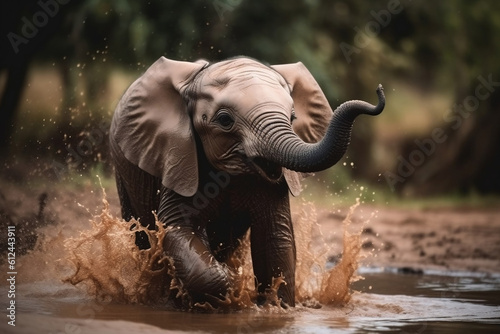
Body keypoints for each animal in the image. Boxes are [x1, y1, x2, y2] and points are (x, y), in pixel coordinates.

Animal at [108, 55, 382, 308]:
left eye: (293, 118)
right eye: (225, 120)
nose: (379, 91)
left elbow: (275, 240)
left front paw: (274, 309)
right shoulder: (180, 160)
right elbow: (177, 229)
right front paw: (230, 287)